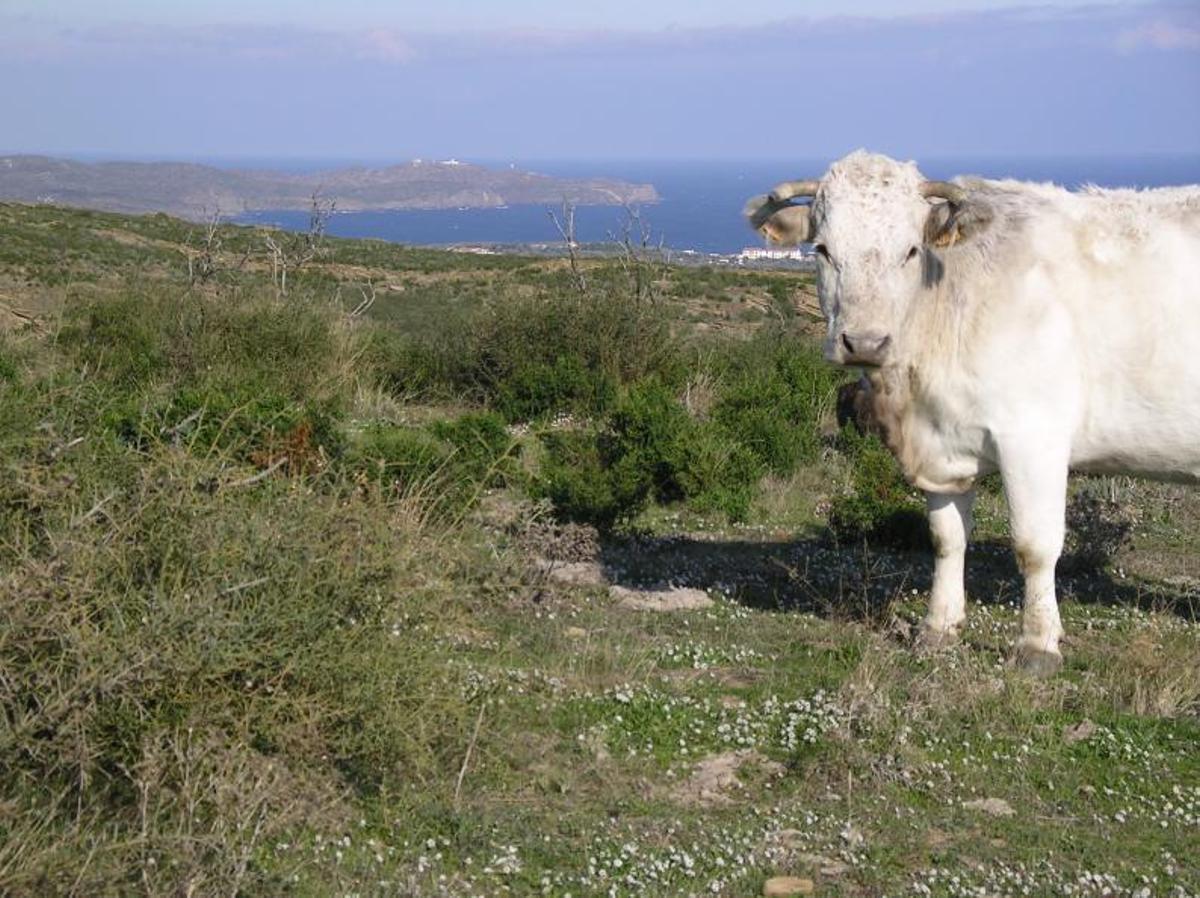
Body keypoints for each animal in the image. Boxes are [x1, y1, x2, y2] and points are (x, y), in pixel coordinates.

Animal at [745, 150, 1200, 675]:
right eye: (821, 249)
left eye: (910, 251)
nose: (864, 343)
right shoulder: (943, 445)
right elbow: (947, 538)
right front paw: (938, 627)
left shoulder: (1033, 437)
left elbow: (1035, 545)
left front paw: (1037, 645)